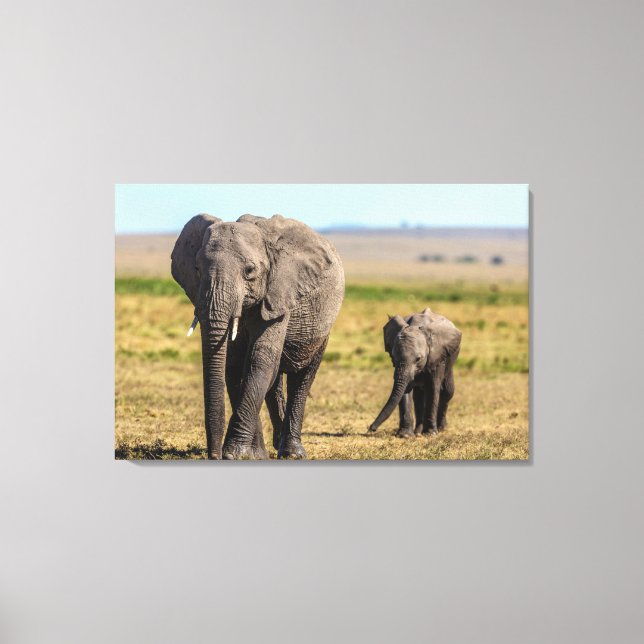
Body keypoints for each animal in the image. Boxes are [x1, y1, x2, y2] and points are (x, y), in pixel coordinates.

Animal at [171, 213, 345, 460]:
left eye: (249, 271)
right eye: (196, 268)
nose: (214, 456)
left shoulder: (279, 294)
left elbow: (259, 361)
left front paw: (234, 454)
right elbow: (234, 366)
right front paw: (253, 455)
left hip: (322, 327)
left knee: (302, 377)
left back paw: (292, 453)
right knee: (274, 380)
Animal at [368, 308, 461, 437]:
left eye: (418, 359)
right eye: (394, 357)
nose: (371, 428)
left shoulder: (436, 356)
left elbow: (433, 387)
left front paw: (430, 434)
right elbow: (406, 389)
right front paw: (405, 435)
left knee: (447, 391)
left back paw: (441, 429)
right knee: (418, 396)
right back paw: (418, 431)